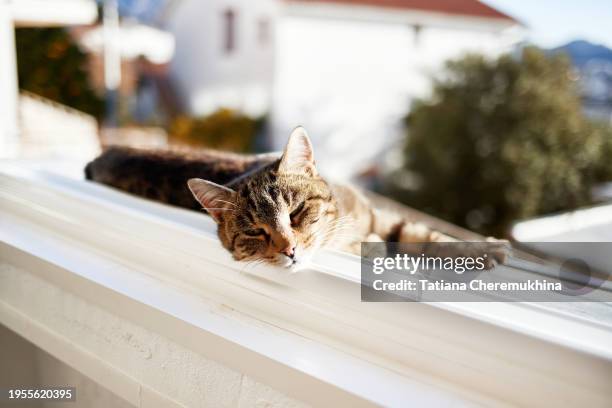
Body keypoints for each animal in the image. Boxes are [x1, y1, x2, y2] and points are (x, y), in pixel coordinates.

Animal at [85, 126, 506, 270]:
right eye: (255, 231)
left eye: (298, 211)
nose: (288, 249)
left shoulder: (379, 215)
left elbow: (422, 233)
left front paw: (482, 248)